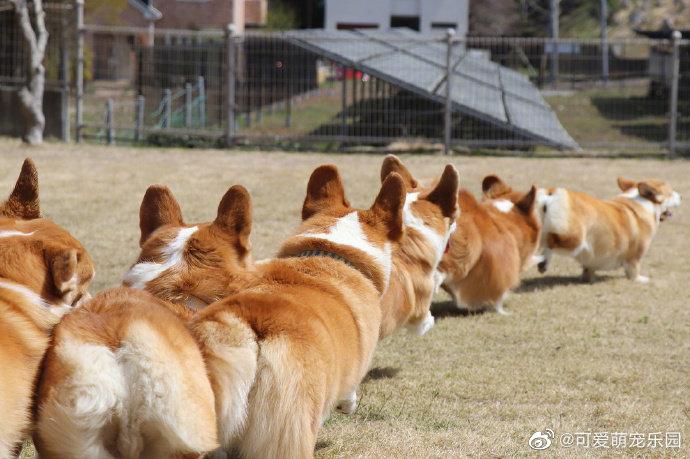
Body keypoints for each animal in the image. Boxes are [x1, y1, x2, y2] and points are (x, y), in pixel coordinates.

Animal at [536, 177, 680, 282]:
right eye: (671, 193)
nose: (682, 196)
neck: (645, 204)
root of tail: (551, 194)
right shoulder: (635, 255)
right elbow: (633, 269)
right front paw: (640, 279)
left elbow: (588, 269)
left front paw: (588, 279)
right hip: (575, 240)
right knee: (551, 241)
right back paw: (543, 262)